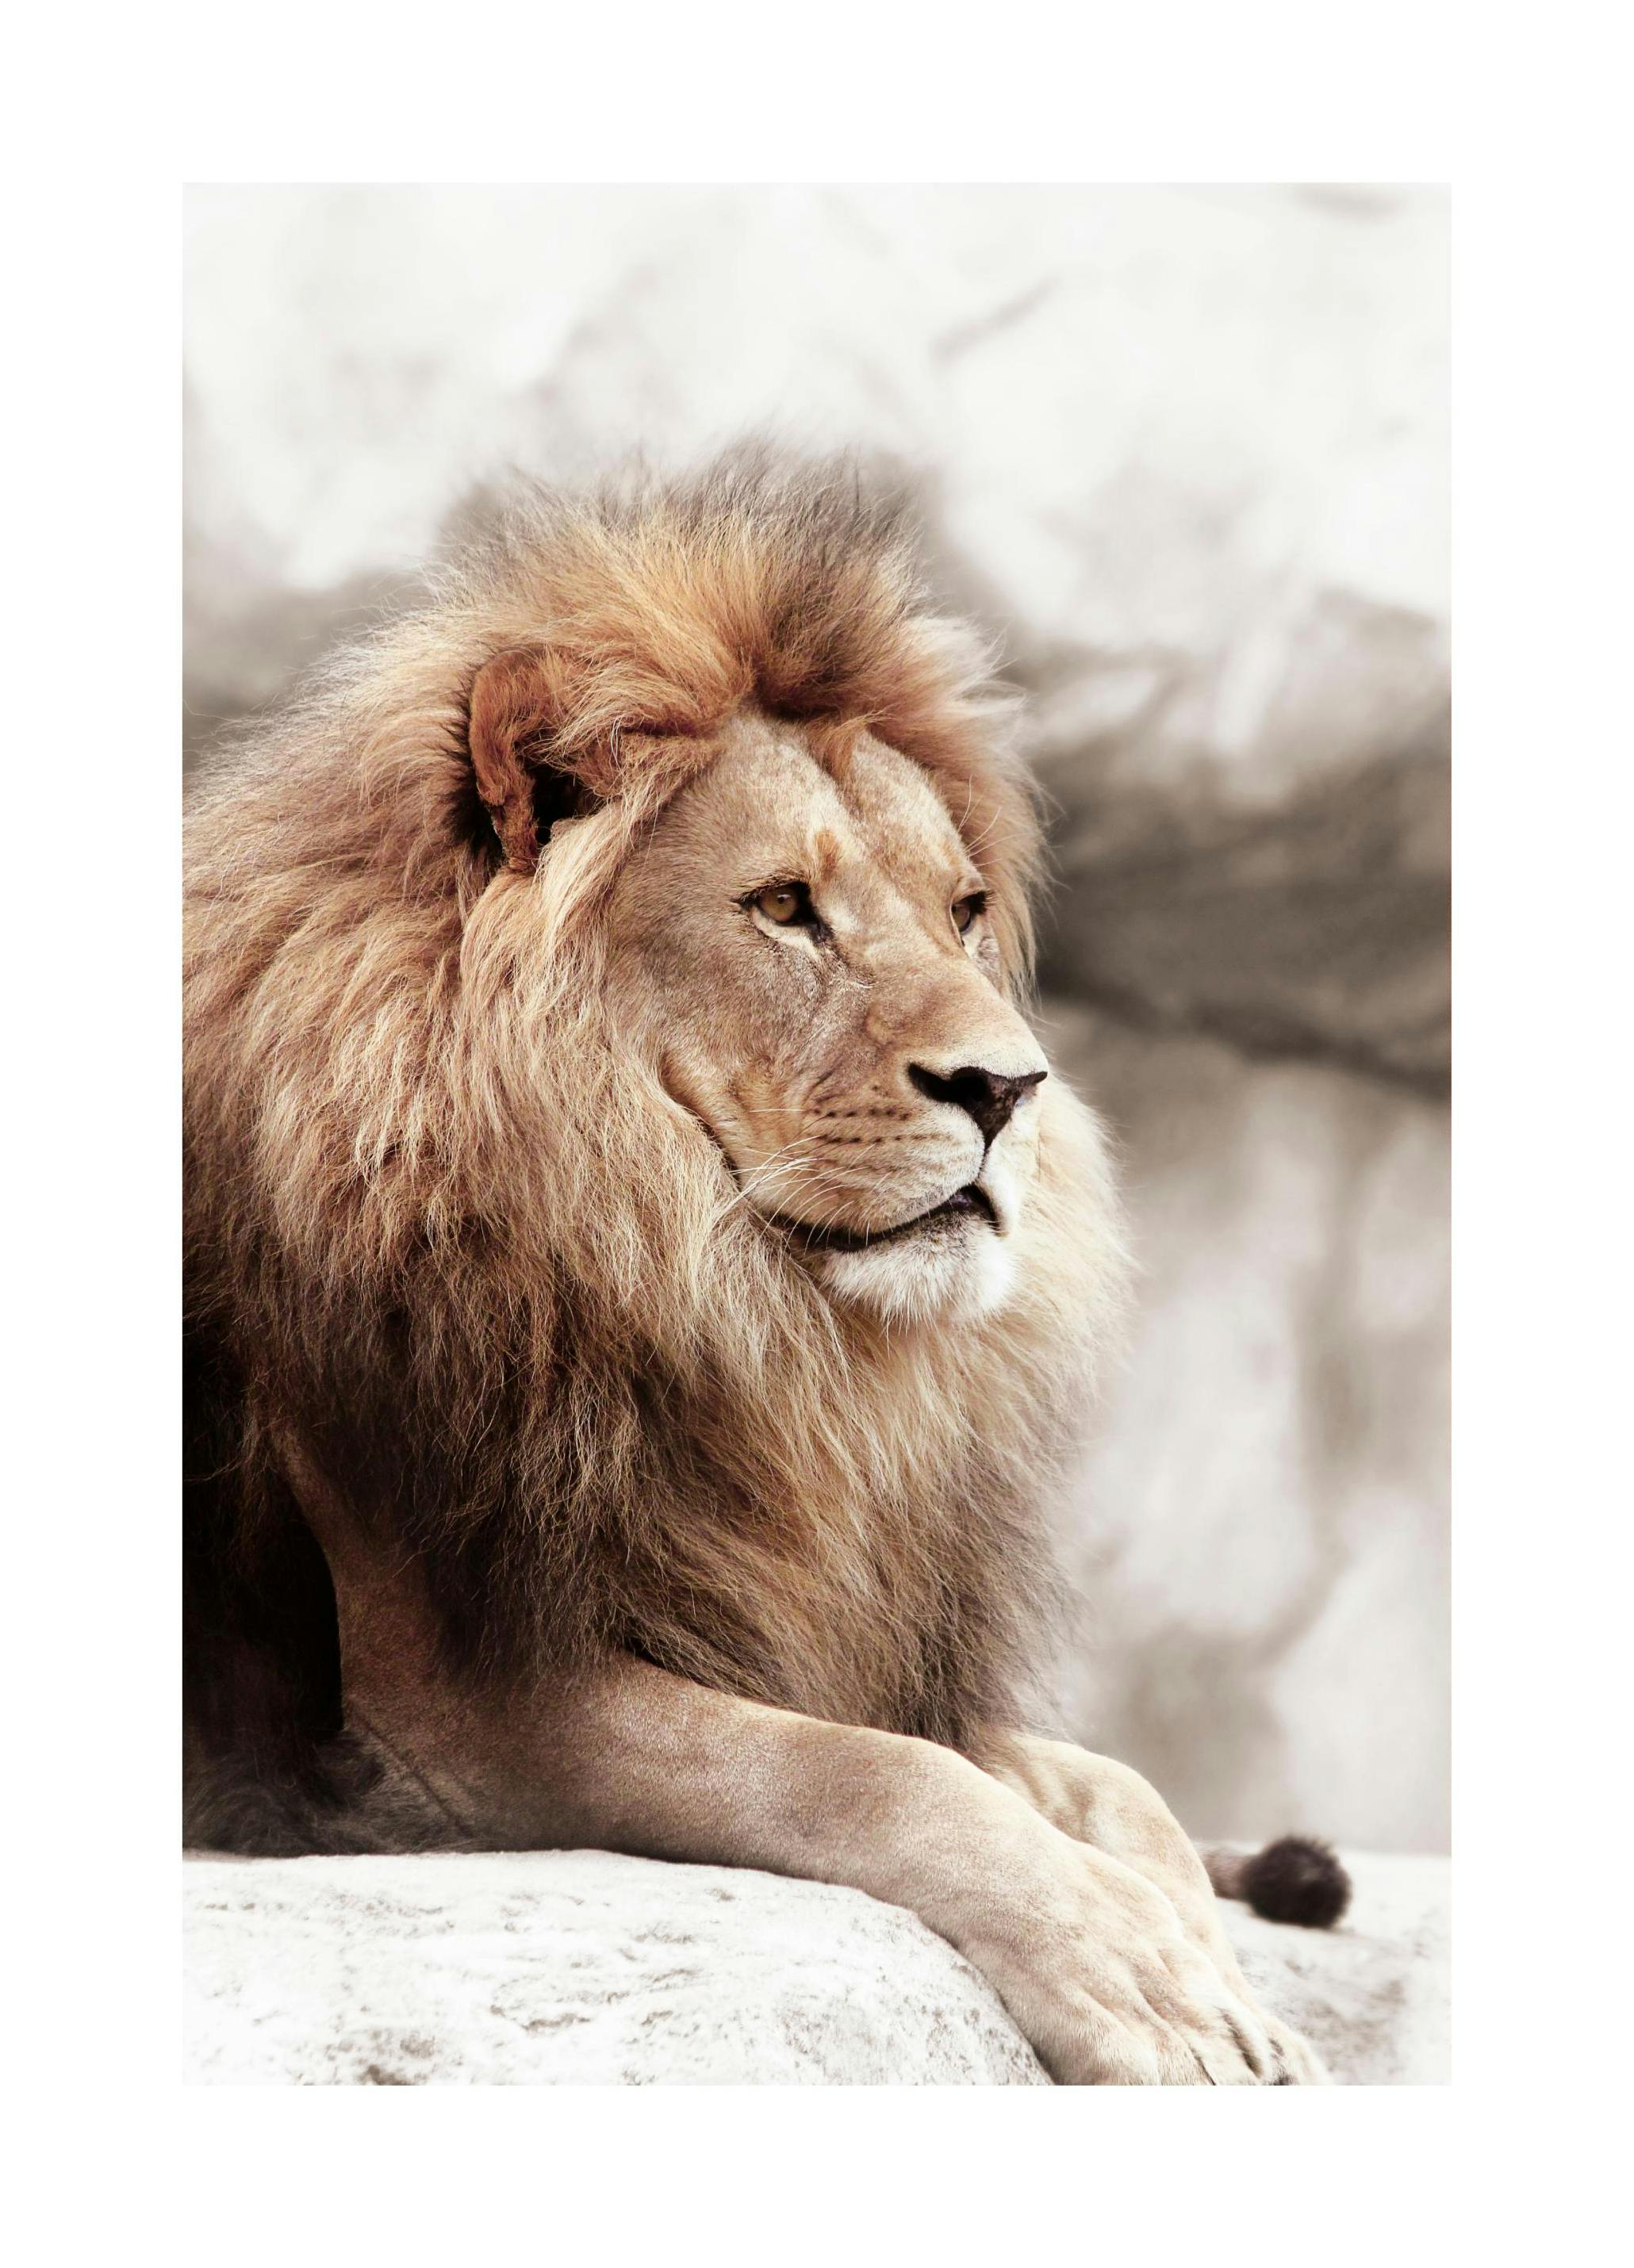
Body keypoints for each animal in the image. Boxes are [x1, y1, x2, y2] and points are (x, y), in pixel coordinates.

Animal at [184, 448, 1345, 2084]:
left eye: (964, 913)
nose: (1010, 1088)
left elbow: (1111, 1790)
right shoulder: (455, 1710)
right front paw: (1147, 1989)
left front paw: (1209, 1975)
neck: (729, 1310)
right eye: (786, 908)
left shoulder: (803, 1616)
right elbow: (872, 1777)